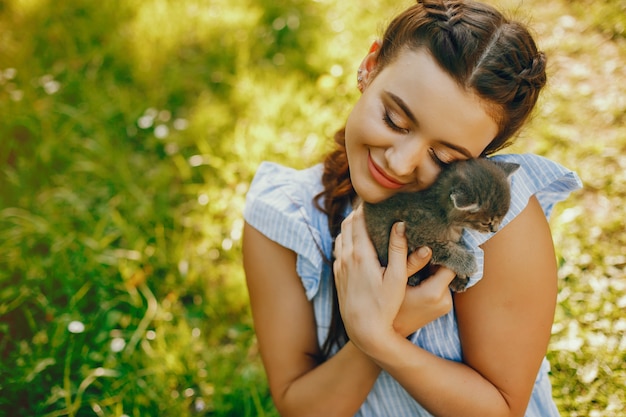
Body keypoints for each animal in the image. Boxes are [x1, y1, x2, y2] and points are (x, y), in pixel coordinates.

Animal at [360, 158, 516, 290]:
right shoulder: (416, 232)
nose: (495, 230)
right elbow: (445, 249)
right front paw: (466, 263)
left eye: (501, 219)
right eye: (486, 223)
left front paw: (458, 279)